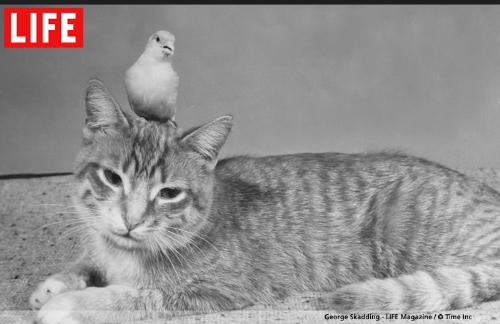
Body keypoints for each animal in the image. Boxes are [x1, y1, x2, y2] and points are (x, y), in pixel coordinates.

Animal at [30, 79, 500, 324]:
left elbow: (128, 297)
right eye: (112, 178)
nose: (130, 221)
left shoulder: (209, 294)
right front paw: (56, 284)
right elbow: (84, 263)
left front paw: (68, 303)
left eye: (169, 193)